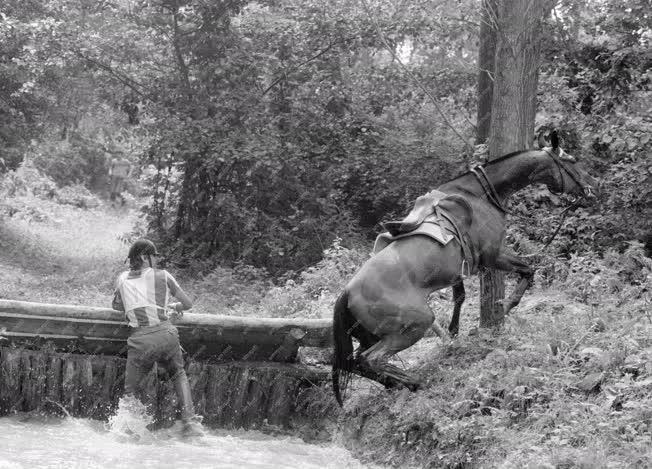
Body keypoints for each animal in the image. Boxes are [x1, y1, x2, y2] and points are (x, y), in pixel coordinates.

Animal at [334, 133, 600, 404]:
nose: (594, 185)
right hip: (415, 324)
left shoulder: (458, 271)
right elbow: (528, 270)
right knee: (372, 359)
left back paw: (397, 383)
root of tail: (347, 293)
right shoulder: (493, 255)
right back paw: (414, 381)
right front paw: (505, 306)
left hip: (370, 335)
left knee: (356, 362)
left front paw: (454, 333)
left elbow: (459, 297)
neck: (480, 194)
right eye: (572, 160)